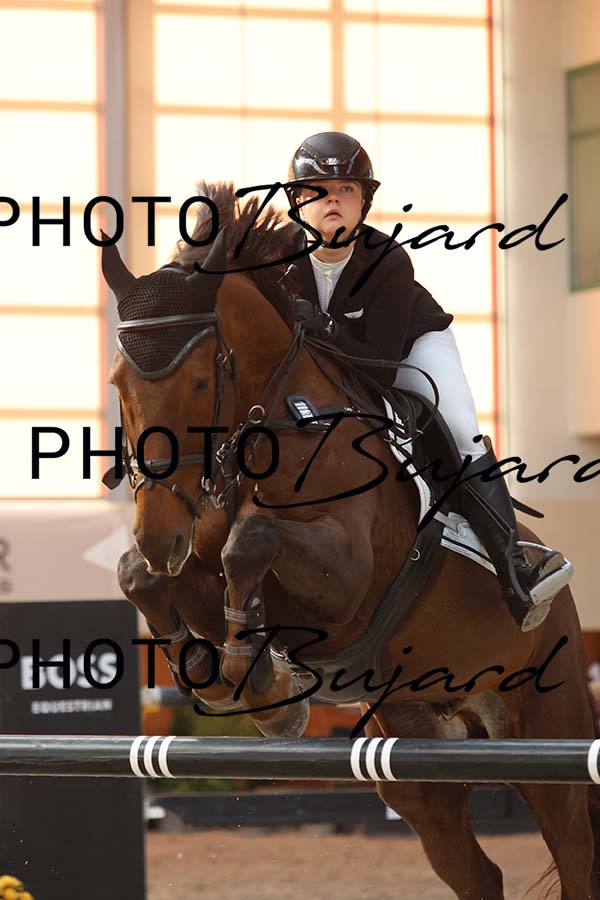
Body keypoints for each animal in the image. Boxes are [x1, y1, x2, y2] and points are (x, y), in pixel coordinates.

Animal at [103, 181, 600, 899]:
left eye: (198, 381)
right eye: (119, 383)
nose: (156, 534)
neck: (277, 419)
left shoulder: (345, 579)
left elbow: (250, 542)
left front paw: (261, 687)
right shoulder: (195, 563)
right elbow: (142, 577)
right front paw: (225, 674)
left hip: (545, 729)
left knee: (573, 850)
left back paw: (527, 574)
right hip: (419, 757)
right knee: (476, 870)